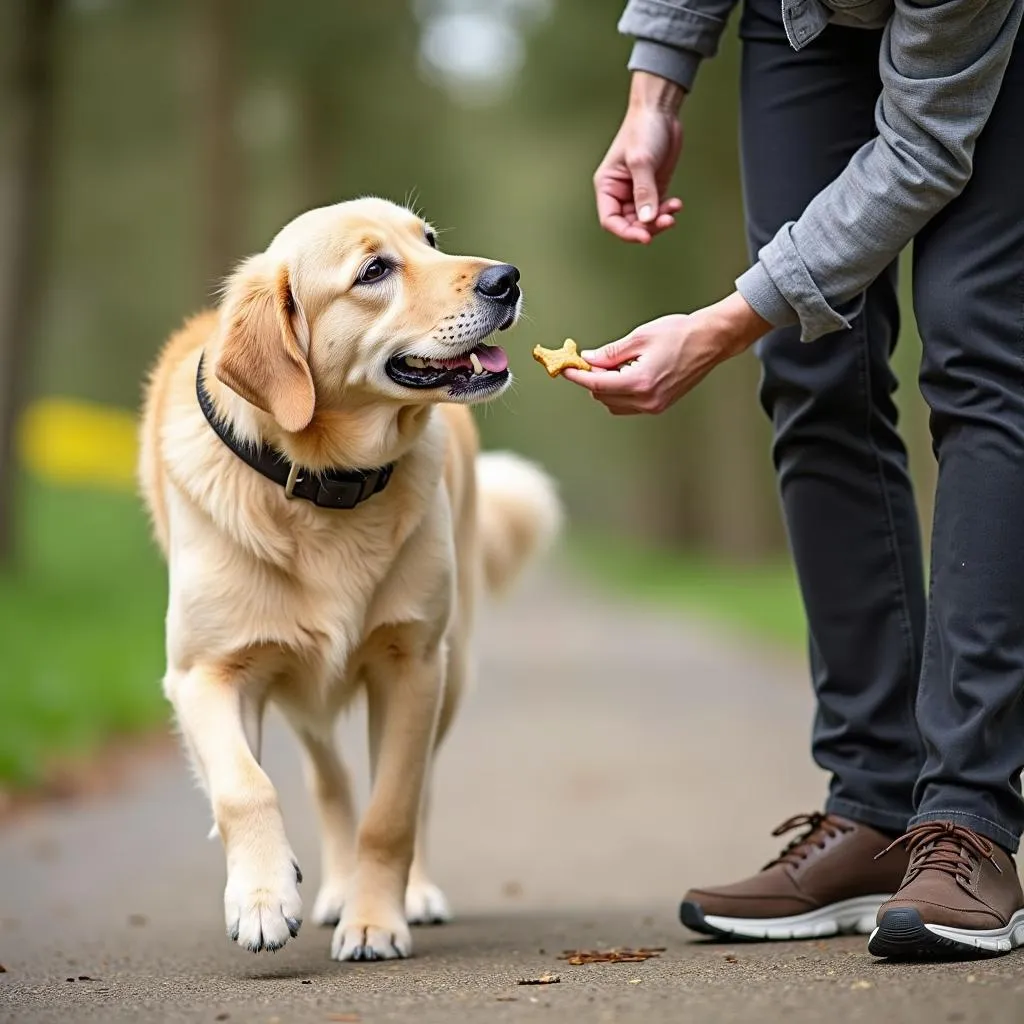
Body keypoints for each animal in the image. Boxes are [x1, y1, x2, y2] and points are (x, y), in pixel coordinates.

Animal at [138, 197, 561, 958]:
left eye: (429, 241)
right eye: (373, 271)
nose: (507, 279)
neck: (324, 484)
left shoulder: (411, 662)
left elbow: (391, 810)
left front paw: (375, 921)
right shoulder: (204, 672)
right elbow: (243, 785)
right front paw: (262, 896)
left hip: (451, 669)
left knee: (415, 790)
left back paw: (406, 895)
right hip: (303, 693)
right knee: (326, 778)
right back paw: (327, 887)